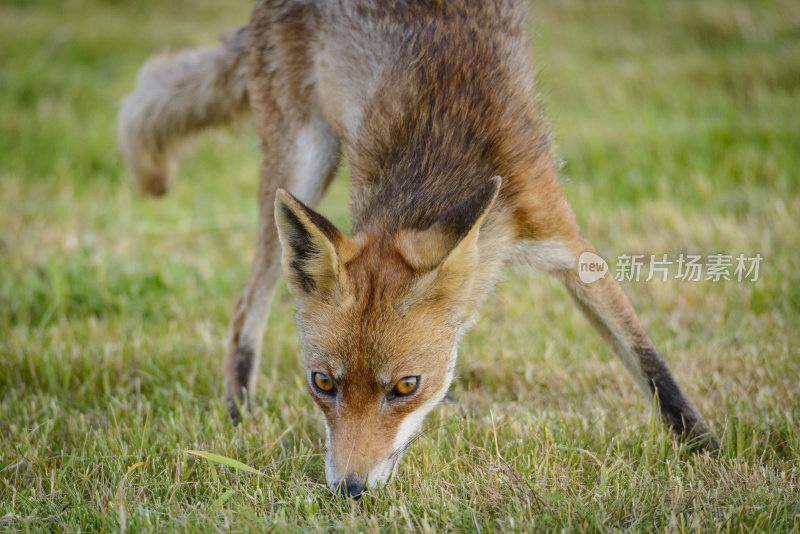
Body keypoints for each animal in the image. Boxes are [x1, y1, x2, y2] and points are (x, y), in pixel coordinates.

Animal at [119, 2, 720, 500]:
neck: (441, 156)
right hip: (303, 164)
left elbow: (651, 366)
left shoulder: (564, 238)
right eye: (322, 383)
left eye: (405, 386)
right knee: (248, 303)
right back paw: (238, 414)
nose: (349, 490)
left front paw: (708, 454)